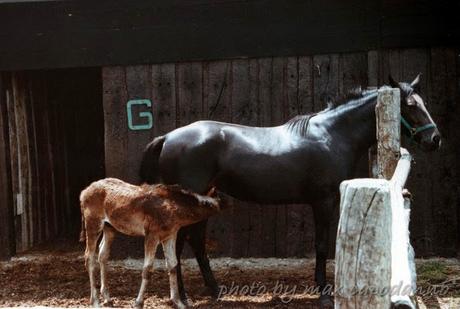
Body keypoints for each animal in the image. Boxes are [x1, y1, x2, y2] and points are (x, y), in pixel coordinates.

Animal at [139, 75, 438, 306]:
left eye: (424, 103)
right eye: (410, 105)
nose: (434, 139)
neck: (332, 134)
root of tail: (168, 137)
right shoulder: (324, 201)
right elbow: (321, 245)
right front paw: (324, 294)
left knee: (196, 242)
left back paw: (215, 291)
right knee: (177, 243)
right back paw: (182, 298)